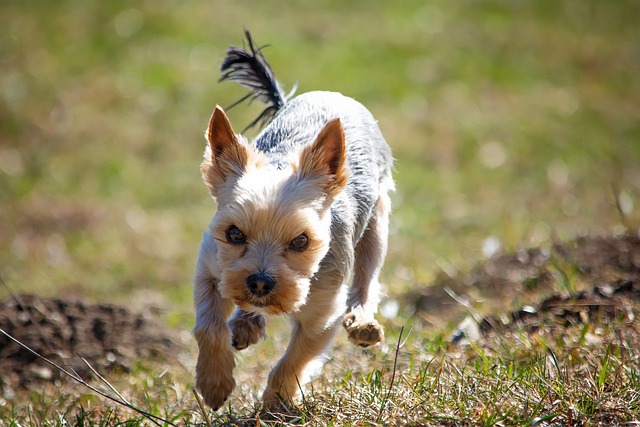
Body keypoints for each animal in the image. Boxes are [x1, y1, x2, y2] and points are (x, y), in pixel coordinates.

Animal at [194, 30, 396, 412]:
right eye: (233, 234)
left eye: (301, 241)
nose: (260, 282)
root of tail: (329, 94)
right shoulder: (210, 268)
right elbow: (208, 327)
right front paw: (214, 384)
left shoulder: (323, 311)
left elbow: (296, 359)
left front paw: (275, 404)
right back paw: (245, 324)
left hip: (377, 221)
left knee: (367, 278)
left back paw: (362, 324)